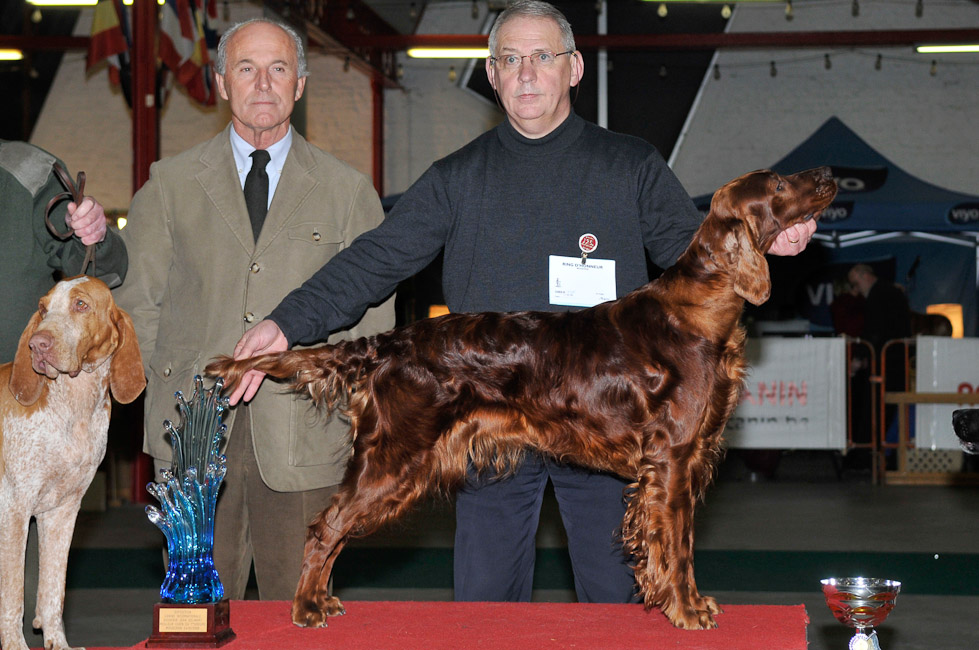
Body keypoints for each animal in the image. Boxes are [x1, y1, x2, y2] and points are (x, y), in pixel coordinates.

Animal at [0, 276, 145, 648]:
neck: (73, 408)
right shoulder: (14, 509)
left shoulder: (62, 511)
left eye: (81, 305)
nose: (38, 344)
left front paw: (57, 642)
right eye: (42, 308)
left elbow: (53, 591)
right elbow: (13, 596)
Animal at [205, 167, 836, 628]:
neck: (700, 311)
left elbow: (672, 544)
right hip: (393, 458)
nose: (829, 174)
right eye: (779, 185)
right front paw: (685, 610)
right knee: (325, 527)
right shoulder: (672, 461)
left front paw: (686, 602)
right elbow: (676, 545)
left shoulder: (672, 464)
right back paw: (307, 606)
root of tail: (391, 343)